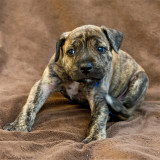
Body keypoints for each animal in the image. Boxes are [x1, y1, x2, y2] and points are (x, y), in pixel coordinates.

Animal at [3, 25, 149, 144]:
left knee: (125, 109)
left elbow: (98, 116)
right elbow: (30, 105)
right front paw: (19, 126)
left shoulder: (99, 95)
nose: (86, 67)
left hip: (140, 81)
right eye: (71, 51)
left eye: (100, 49)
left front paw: (94, 137)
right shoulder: (44, 84)